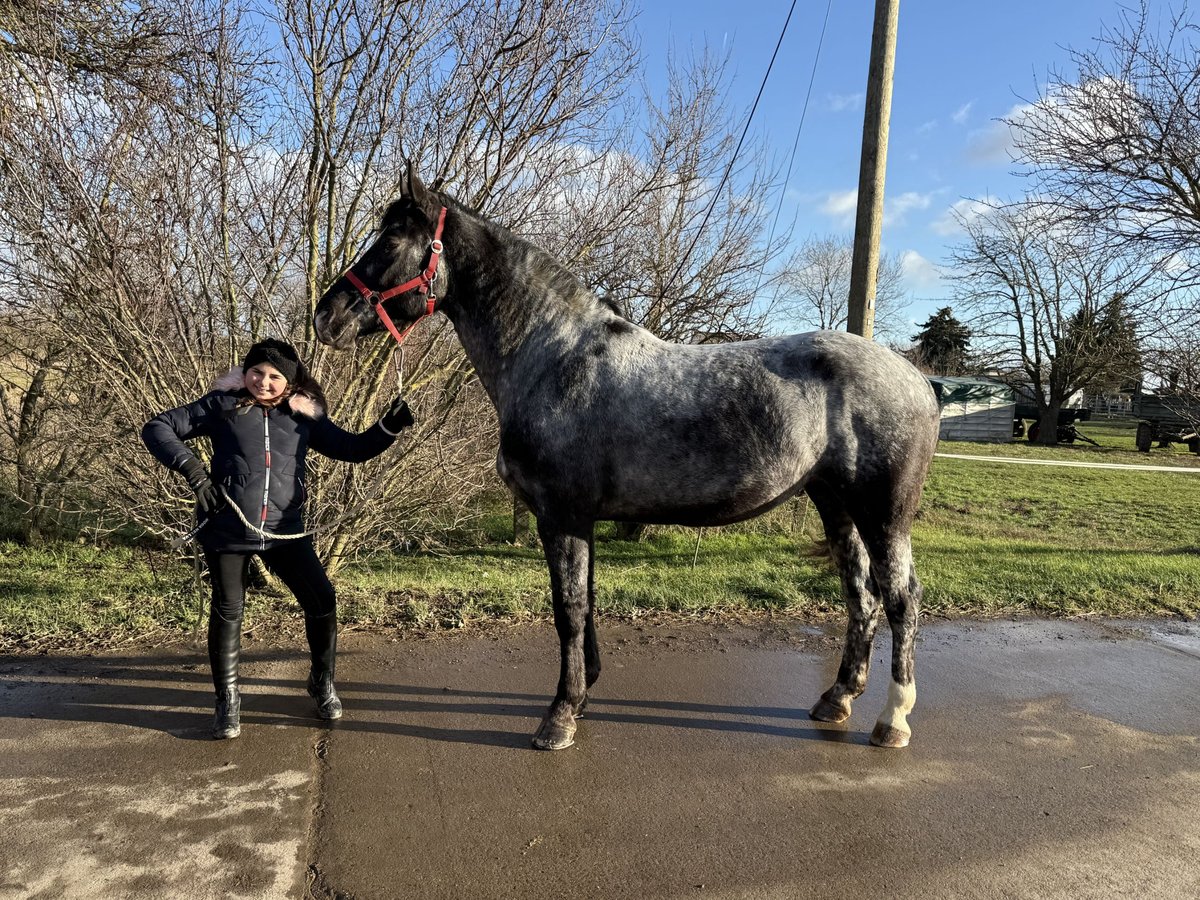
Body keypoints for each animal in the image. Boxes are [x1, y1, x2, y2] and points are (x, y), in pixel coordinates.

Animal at [314, 164, 940, 753]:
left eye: (392, 241)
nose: (327, 317)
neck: (555, 358)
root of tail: (918, 380)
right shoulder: (580, 520)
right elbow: (585, 602)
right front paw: (583, 693)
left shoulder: (562, 515)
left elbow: (568, 609)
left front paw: (560, 717)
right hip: (835, 503)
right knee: (860, 594)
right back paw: (837, 699)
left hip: (883, 514)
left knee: (901, 598)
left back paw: (893, 720)